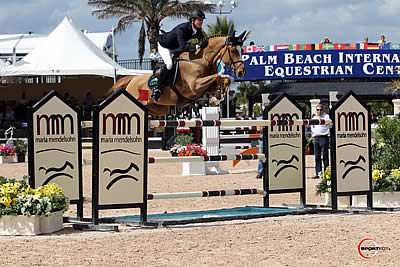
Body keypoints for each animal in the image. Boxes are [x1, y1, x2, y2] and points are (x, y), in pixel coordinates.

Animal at [110, 31, 247, 116]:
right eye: (233, 51)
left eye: (241, 49)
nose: (242, 72)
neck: (200, 60)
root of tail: (132, 80)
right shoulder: (194, 86)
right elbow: (218, 76)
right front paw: (217, 97)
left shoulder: (204, 87)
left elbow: (223, 79)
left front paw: (217, 97)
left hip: (161, 108)